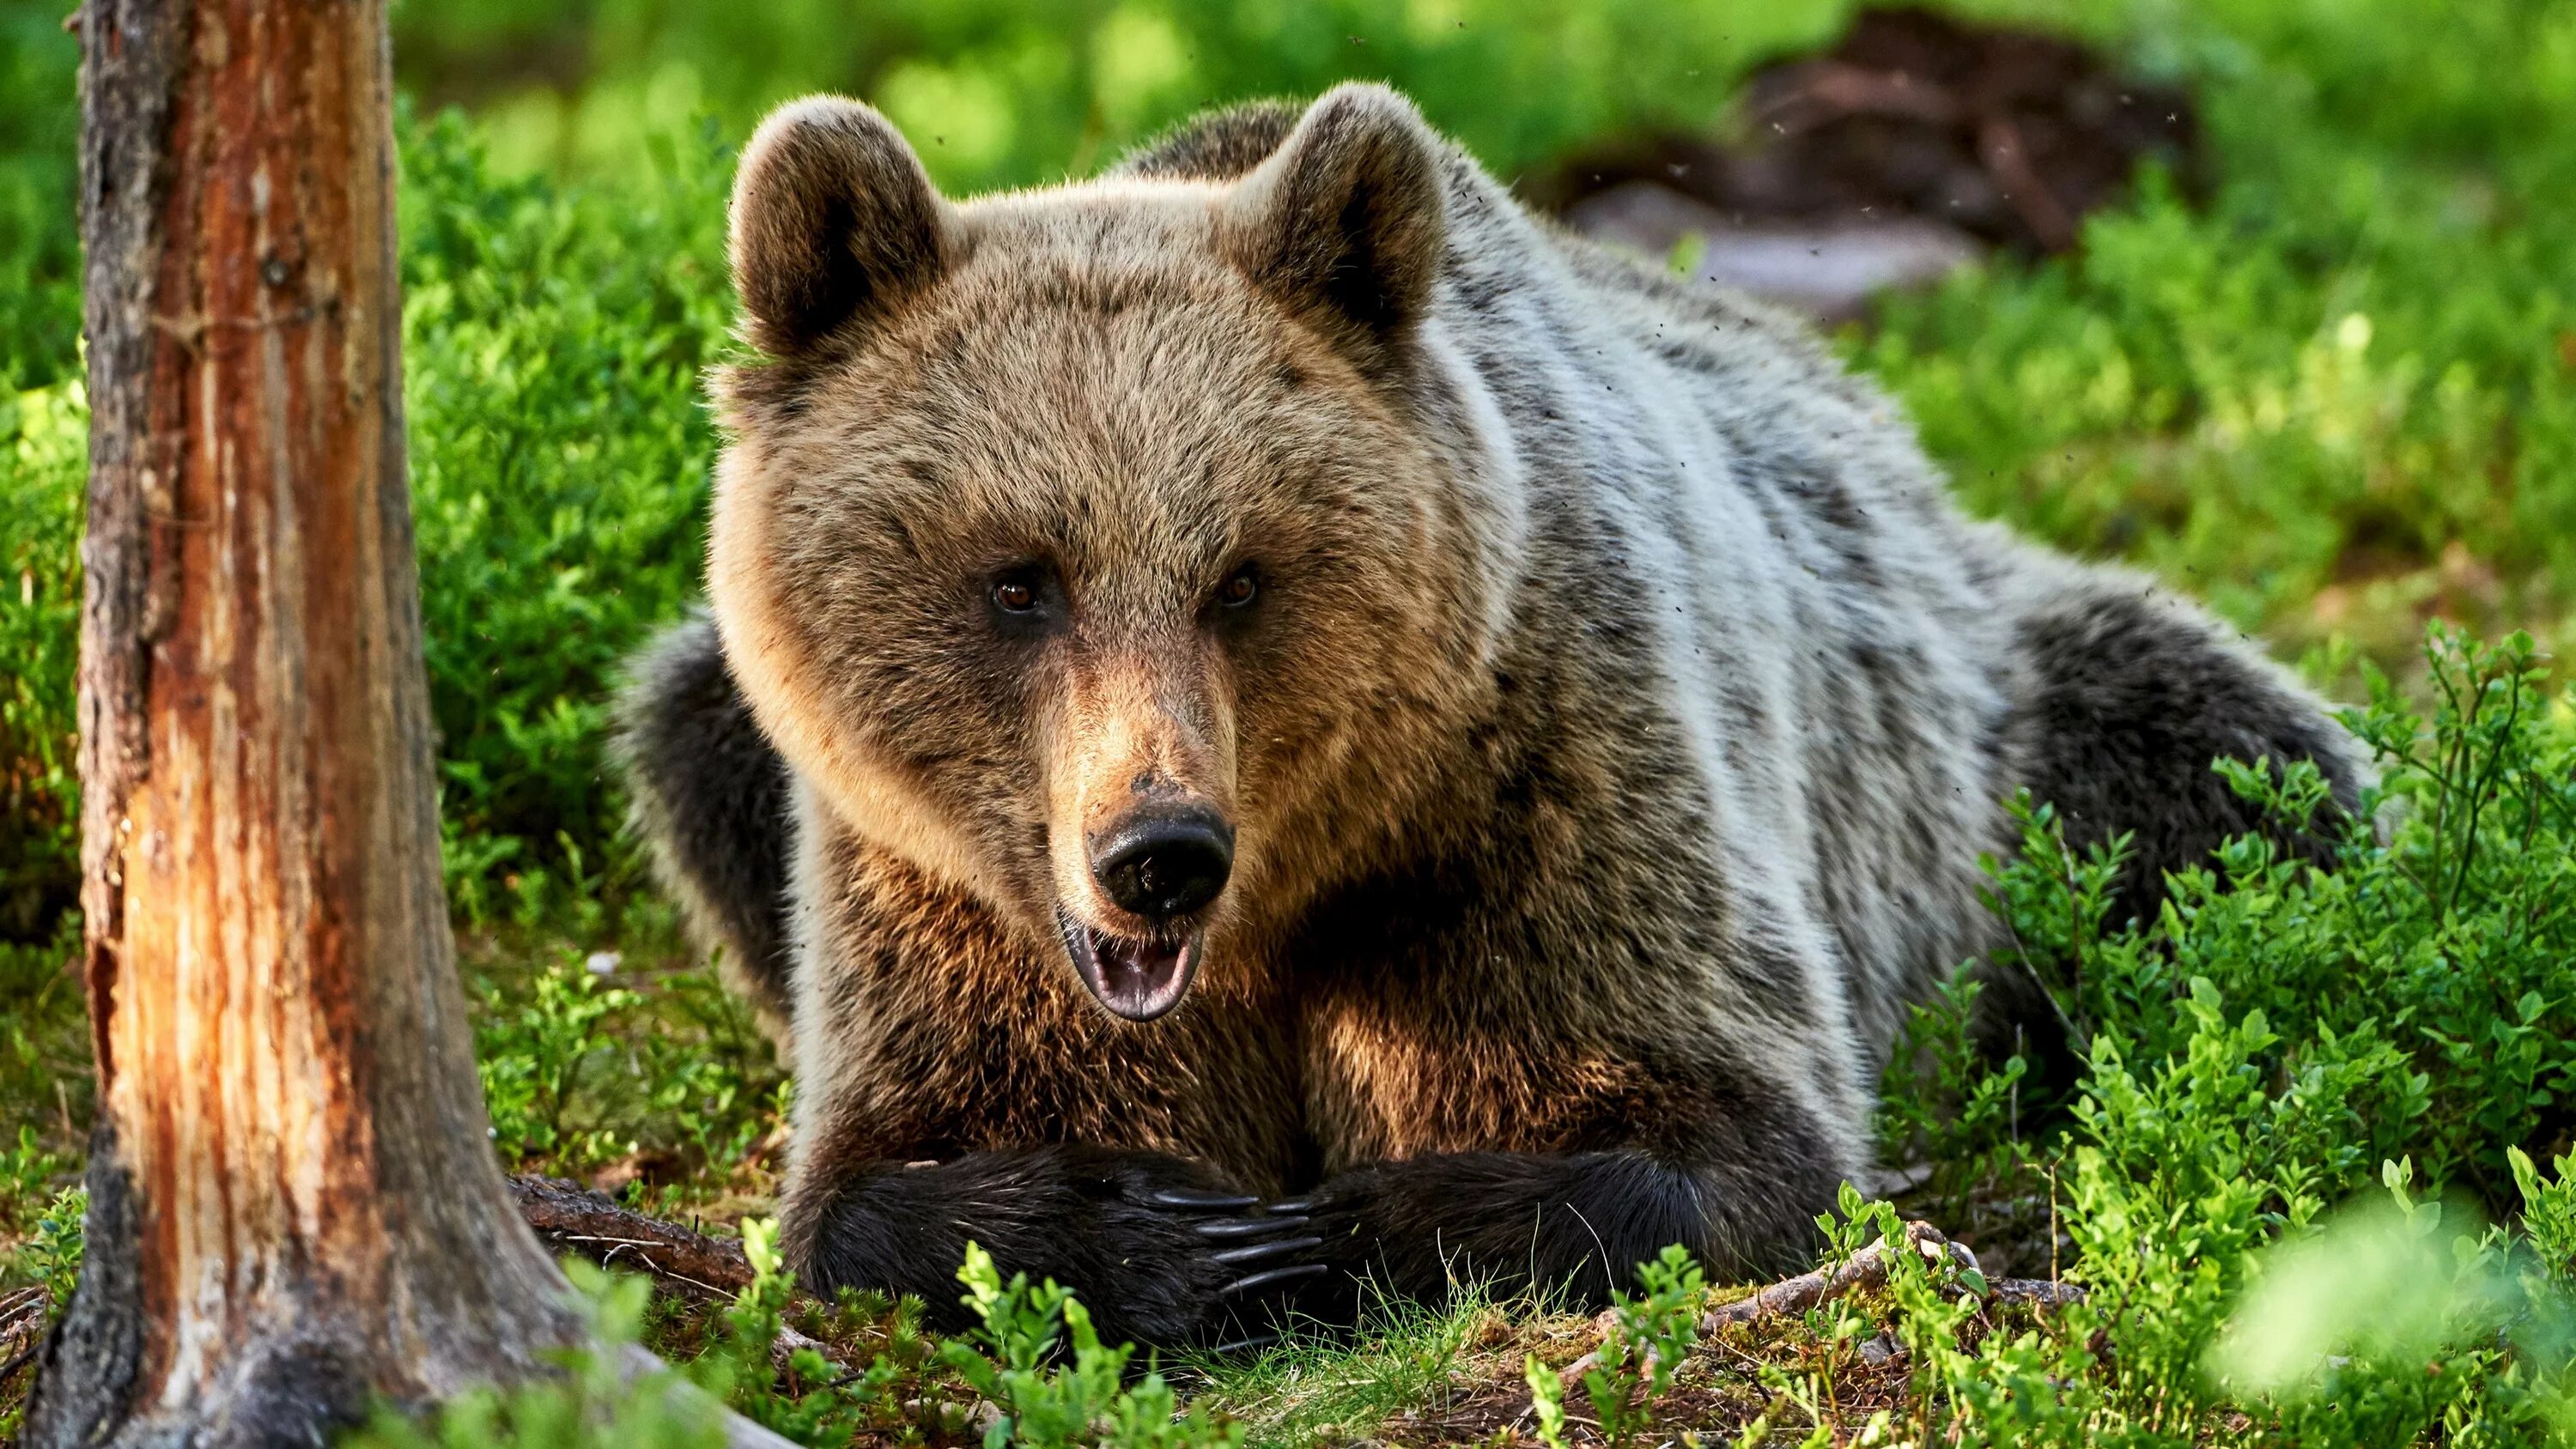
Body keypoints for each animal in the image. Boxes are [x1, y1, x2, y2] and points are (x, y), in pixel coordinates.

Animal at [618, 79, 2360, 1349]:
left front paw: (1339, 1227)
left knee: (2239, 783)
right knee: (685, 724)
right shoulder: (933, 894)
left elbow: (1735, 1139)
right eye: (1018, 579)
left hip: (2010, 731)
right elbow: (870, 1184)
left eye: (1240, 575)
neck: (1285, 901)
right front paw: (1164, 1229)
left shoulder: (1548, 787)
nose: (1157, 850)